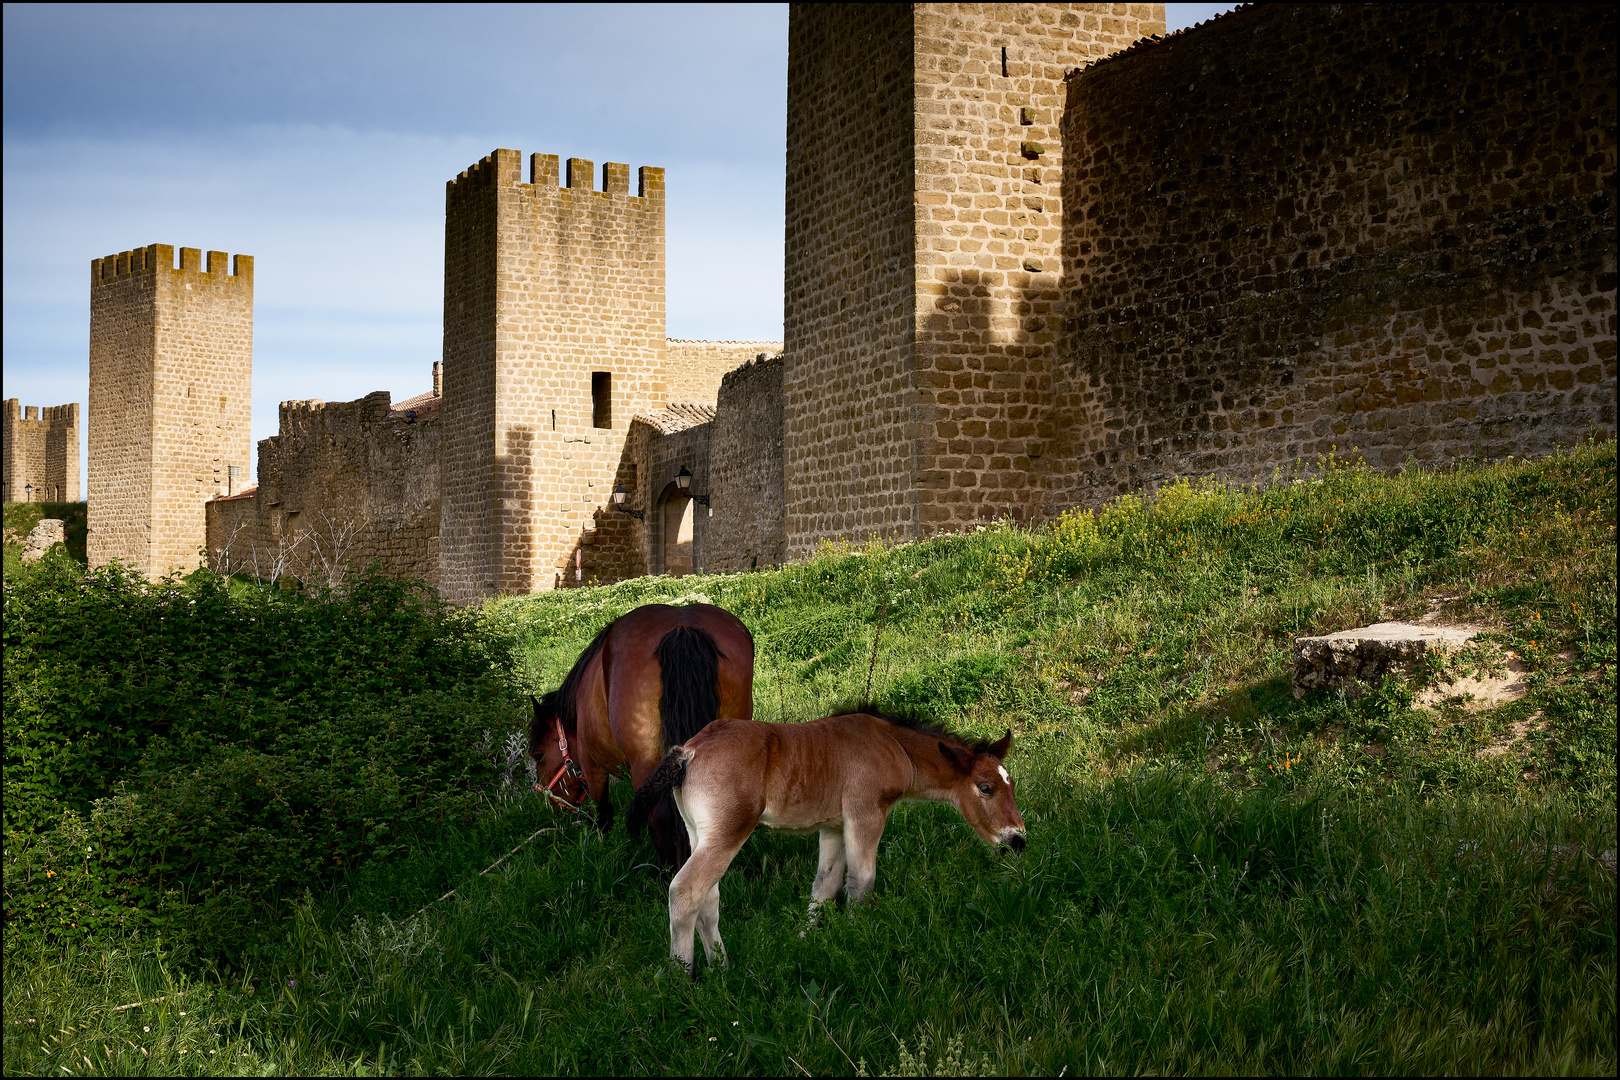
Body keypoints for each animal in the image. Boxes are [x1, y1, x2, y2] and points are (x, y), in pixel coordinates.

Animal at [531, 605, 758, 867]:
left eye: (538, 756)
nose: (548, 804)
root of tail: (682, 629)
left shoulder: (592, 765)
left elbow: (603, 813)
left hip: (646, 765)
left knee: (659, 820)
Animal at [622, 712, 1017, 977]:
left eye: (1009, 783)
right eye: (985, 787)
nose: (1017, 840)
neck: (893, 744)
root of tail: (687, 752)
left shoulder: (833, 827)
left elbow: (825, 885)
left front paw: (804, 941)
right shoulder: (865, 813)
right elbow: (861, 882)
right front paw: (856, 942)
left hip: (700, 834)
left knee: (709, 897)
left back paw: (723, 968)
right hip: (727, 832)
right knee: (686, 891)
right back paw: (681, 978)